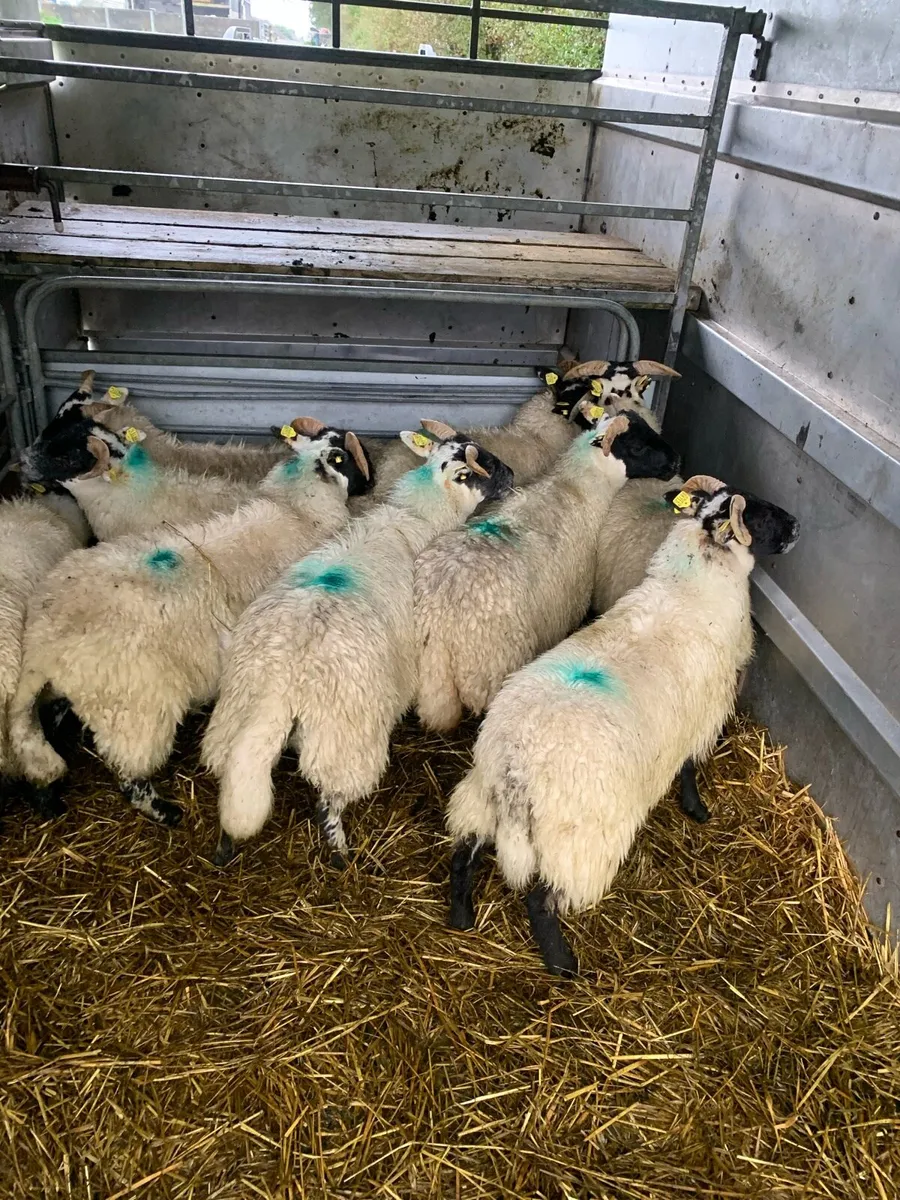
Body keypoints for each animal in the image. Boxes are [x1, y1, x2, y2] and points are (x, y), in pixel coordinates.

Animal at [201, 421, 514, 868]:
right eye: (480, 464)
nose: (513, 475)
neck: (418, 513)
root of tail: (281, 678)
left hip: (234, 716)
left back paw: (225, 846)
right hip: (345, 736)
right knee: (329, 799)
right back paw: (338, 853)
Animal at [414, 406, 680, 732]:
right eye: (637, 447)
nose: (676, 462)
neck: (576, 488)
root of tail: (440, 611)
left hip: (432, 675)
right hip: (491, 668)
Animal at [445, 474, 800, 975]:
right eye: (760, 513)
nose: (798, 526)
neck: (692, 585)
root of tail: (517, 761)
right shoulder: (702, 716)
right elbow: (689, 769)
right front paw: (697, 810)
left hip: (480, 797)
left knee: (463, 854)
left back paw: (461, 916)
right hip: (578, 838)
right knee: (540, 899)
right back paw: (562, 964)